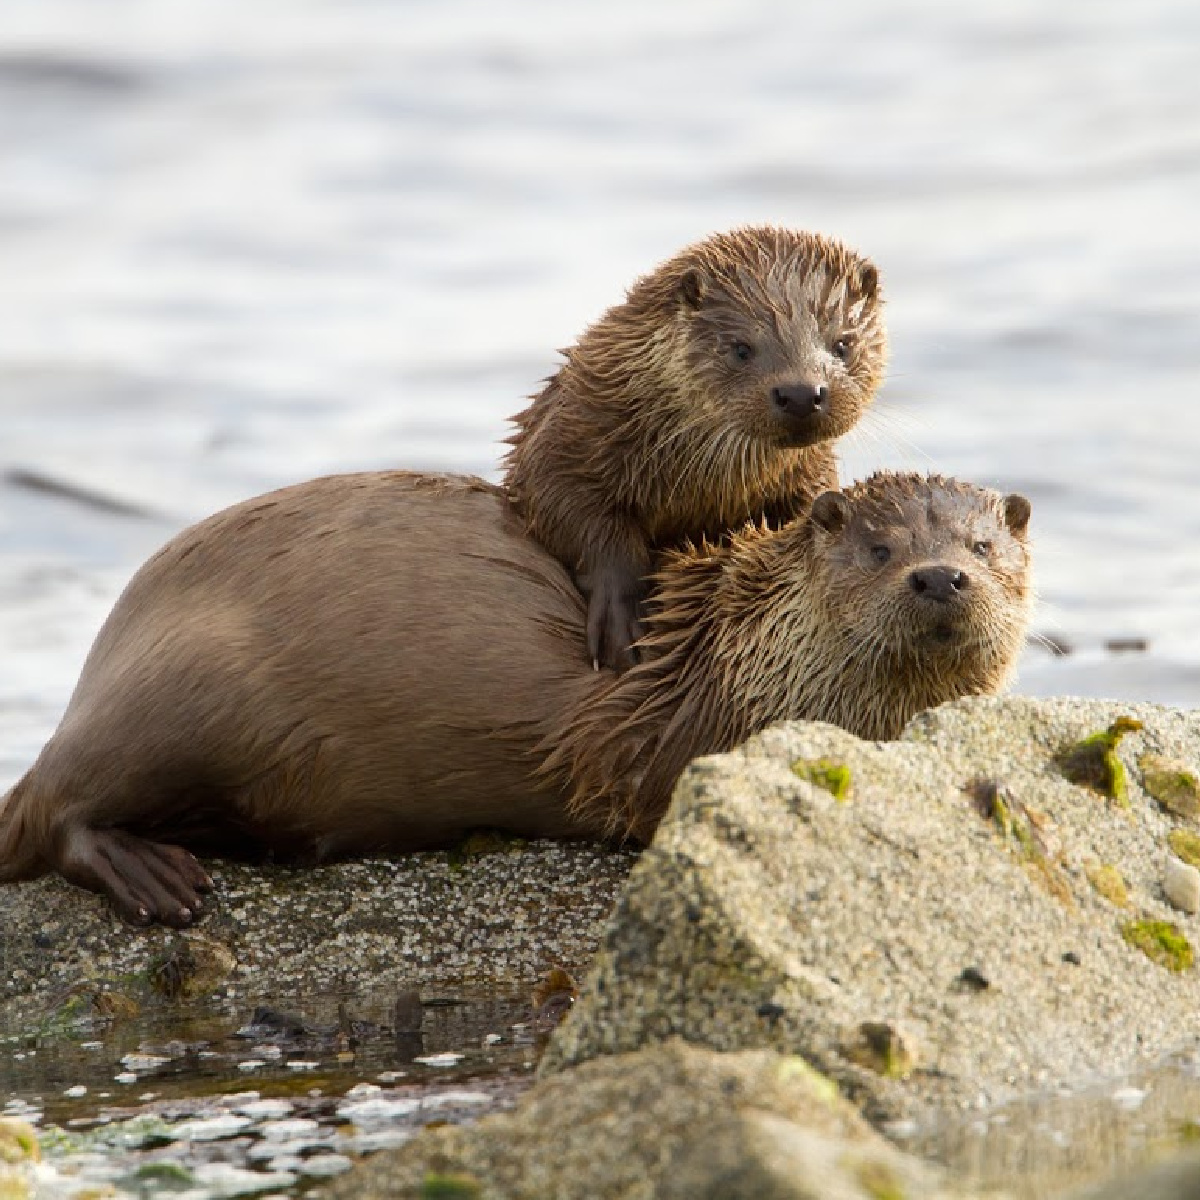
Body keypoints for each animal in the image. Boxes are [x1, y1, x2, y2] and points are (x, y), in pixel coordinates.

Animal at [0, 470, 1030, 927]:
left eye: (983, 547)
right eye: (878, 549)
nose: (940, 576)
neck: (733, 653)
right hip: (183, 692)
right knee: (53, 809)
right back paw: (156, 878)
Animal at [504, 225, 887, 671]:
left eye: (843, 343)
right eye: (740, 348)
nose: (801, 393)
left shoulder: (808, 472)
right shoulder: (564, 440)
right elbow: (574, 515)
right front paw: (620, 617)